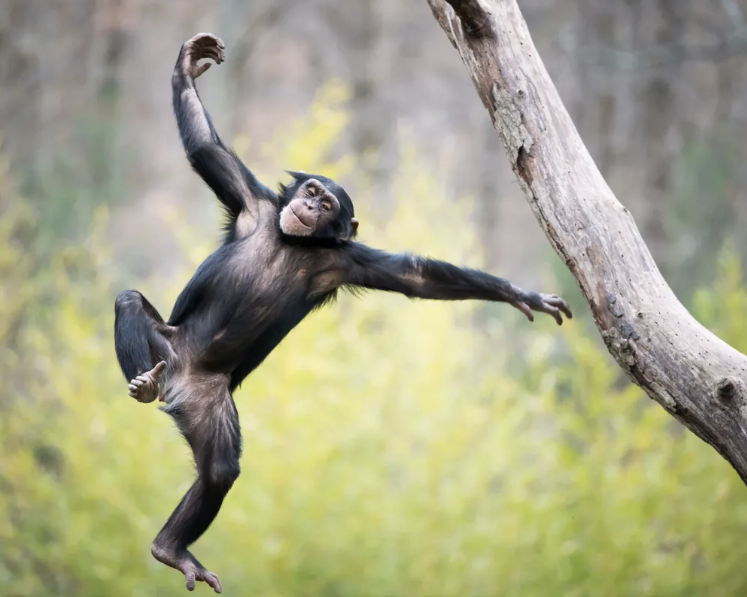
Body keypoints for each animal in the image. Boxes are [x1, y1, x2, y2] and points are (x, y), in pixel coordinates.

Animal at [113, 33, 572, 594]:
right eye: (311, 191)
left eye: (328, 204)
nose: (311, 205)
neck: (293, 241)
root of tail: (178, 384)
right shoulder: (251, 202)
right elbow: (204, 149)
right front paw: (188, 65)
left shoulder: (345, 261)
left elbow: (416, 276)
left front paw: (518, 294)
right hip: (167, 350)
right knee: (129, 302)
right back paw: (142, 386)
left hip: (209, 402)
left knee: (219, 471)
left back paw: (170, 547)